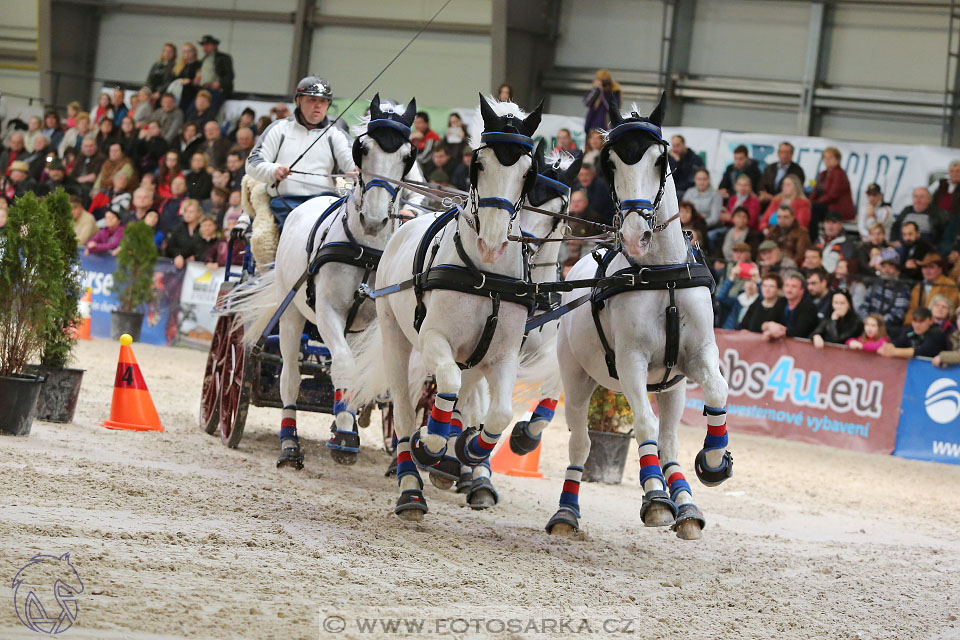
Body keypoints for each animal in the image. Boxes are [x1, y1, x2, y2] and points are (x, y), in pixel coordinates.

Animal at [237, 95, 420, 468]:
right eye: (363, 148)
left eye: (407, 156)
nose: (375, 219)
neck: (367, 249)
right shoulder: (327, 311)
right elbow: (344, 366)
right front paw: (346, 432)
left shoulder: (374, 323)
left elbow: (363, 372)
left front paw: (348, 428)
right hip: (292, 314)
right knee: (291, 378)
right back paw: (290, 443)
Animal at [346, 96, 544, 520]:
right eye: (478, 163)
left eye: (527, 171)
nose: (491, 242)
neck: (484, 276)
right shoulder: (434, 339)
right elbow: (445, 386)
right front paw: (432, 444)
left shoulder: (503, 355)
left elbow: (500, 413)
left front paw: (470, 448)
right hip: (397, 340)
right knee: (405, 413)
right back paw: (410, 484)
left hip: (474, 359)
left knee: (465, 398)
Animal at [544, 94, 732, 540]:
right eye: (610, 163)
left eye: (661, 160)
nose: (634, 235)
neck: (662, 275)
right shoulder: (631, 361)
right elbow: (643, 424)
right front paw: (656, 501)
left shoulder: (698, 355)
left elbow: (717, 393)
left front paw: (714, 463)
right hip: (577, 378)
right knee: (581, 443)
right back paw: (566, 513)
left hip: (671, 387)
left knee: (669, 440)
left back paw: (687, 504)